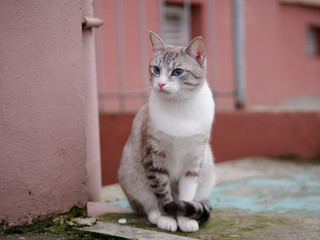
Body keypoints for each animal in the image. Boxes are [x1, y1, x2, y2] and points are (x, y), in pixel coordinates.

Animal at [117, 31, 215, 232]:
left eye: (177, 72)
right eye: (156, 70)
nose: (161, 84)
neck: (180, 108)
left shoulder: (194, 160)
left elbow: (186, 196)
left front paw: (184, 220)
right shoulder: (154, 157)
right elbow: (163, 194)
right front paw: (168, 218)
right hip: (131, 175)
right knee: (145, 204)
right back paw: (155, 215)